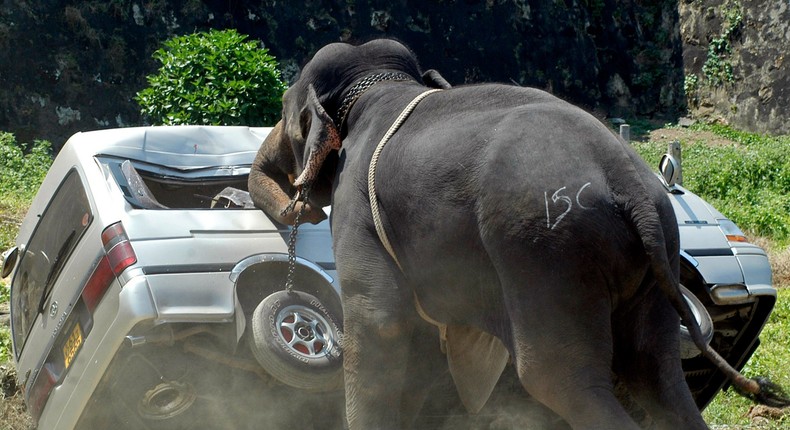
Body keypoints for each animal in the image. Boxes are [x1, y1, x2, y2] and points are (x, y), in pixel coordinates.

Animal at [251, 38, 788, 428]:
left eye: (286, 113)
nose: (297, 204)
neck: (381, 87)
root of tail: (632, 188)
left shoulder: (356, 208)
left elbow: (380, 321)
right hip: (654, 264)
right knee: (657, 373)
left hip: (546, 253)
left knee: (559, 378)